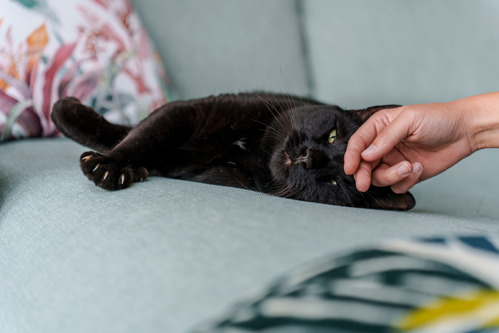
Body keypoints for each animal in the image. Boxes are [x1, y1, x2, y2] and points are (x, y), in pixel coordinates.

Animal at [51, 92, 418, 209]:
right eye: (331, 136)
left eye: (334, 183)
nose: (309, 158)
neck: (253, 150)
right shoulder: (188, 111)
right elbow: (140, 135)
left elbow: (140, 139)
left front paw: (118, 168)